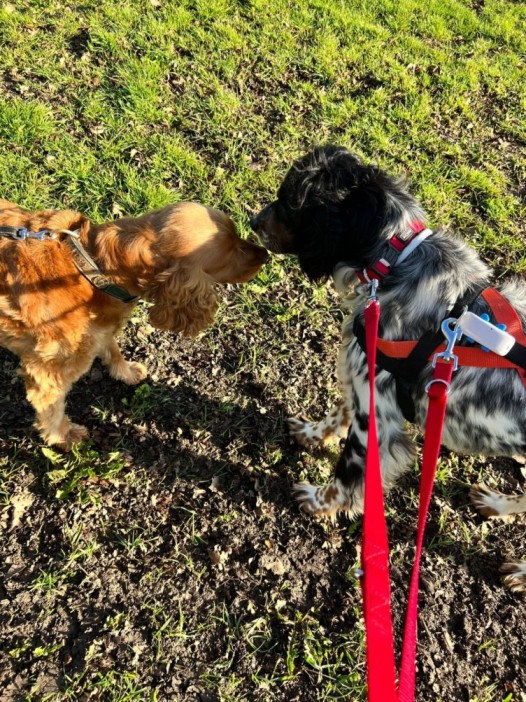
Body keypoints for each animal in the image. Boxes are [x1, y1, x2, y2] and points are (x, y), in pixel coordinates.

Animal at [0, 201, 268, 448]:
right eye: (232, 250)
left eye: (237, 235)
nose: (265, 254)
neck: (95, 268)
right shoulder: (49, 373)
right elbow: (50, 408)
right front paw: (63, 436)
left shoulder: (101, 328)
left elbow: (112, 349)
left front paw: (127, 373)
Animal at [252, 144, 526, 592]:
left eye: (290, 203)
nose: (253, 221)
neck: (394, 261)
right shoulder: (360, 378)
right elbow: (337, 414)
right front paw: (312, 434)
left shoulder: (377, 418)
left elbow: (347, 473)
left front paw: (318, 502)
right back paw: (497, 504)